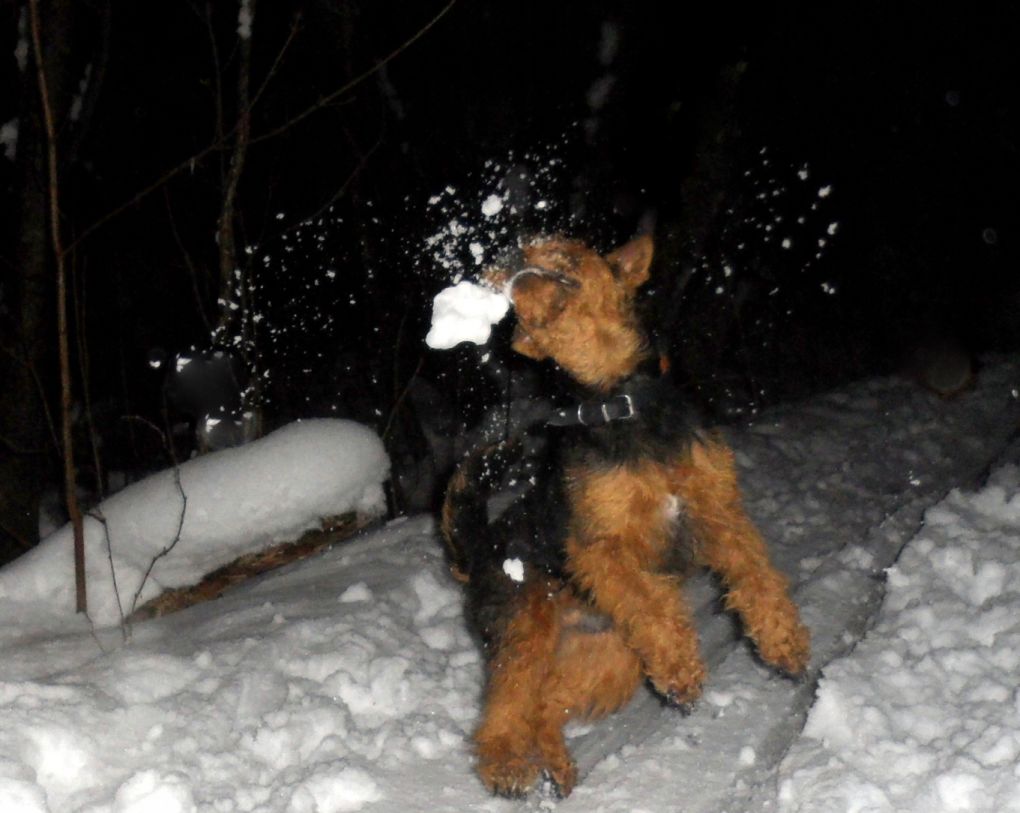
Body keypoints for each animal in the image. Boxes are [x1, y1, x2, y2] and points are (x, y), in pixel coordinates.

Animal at [441, 234, 810, 798]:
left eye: (558, 245)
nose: (511, 255)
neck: (620, 401)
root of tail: (480, 550)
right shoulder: (599, 546)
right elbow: (648, 599)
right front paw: (682, 669)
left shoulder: (718, 510)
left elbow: (756, 577)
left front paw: (783, 642)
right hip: (525, 633)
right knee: (504, 710)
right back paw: (507, 767)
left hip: (609, 653)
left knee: (545, 705)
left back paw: (560, 769)